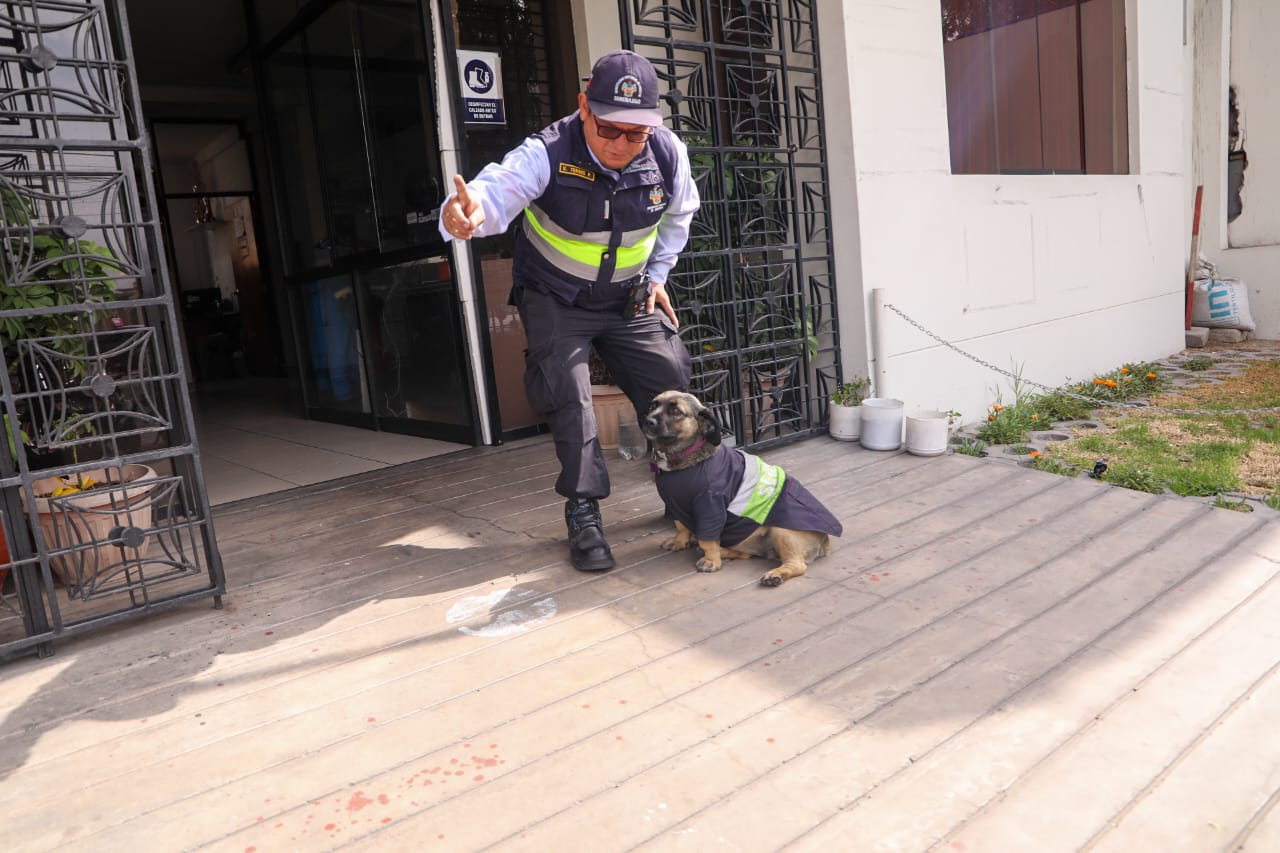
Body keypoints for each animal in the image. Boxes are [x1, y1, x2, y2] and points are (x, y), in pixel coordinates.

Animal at [640, 386, 839, 581]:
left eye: (676, 411)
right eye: (653, 405)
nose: (647, 421)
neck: (681, 458)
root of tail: (824, 541)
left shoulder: (710, 505)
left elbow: (707, 538)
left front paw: (711, 560)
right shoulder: (676, 506)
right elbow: (681, 527)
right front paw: (679, 542)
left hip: (782, 530)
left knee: (797, 565)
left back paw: (774, 575)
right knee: (746, 554)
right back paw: (723, 551)